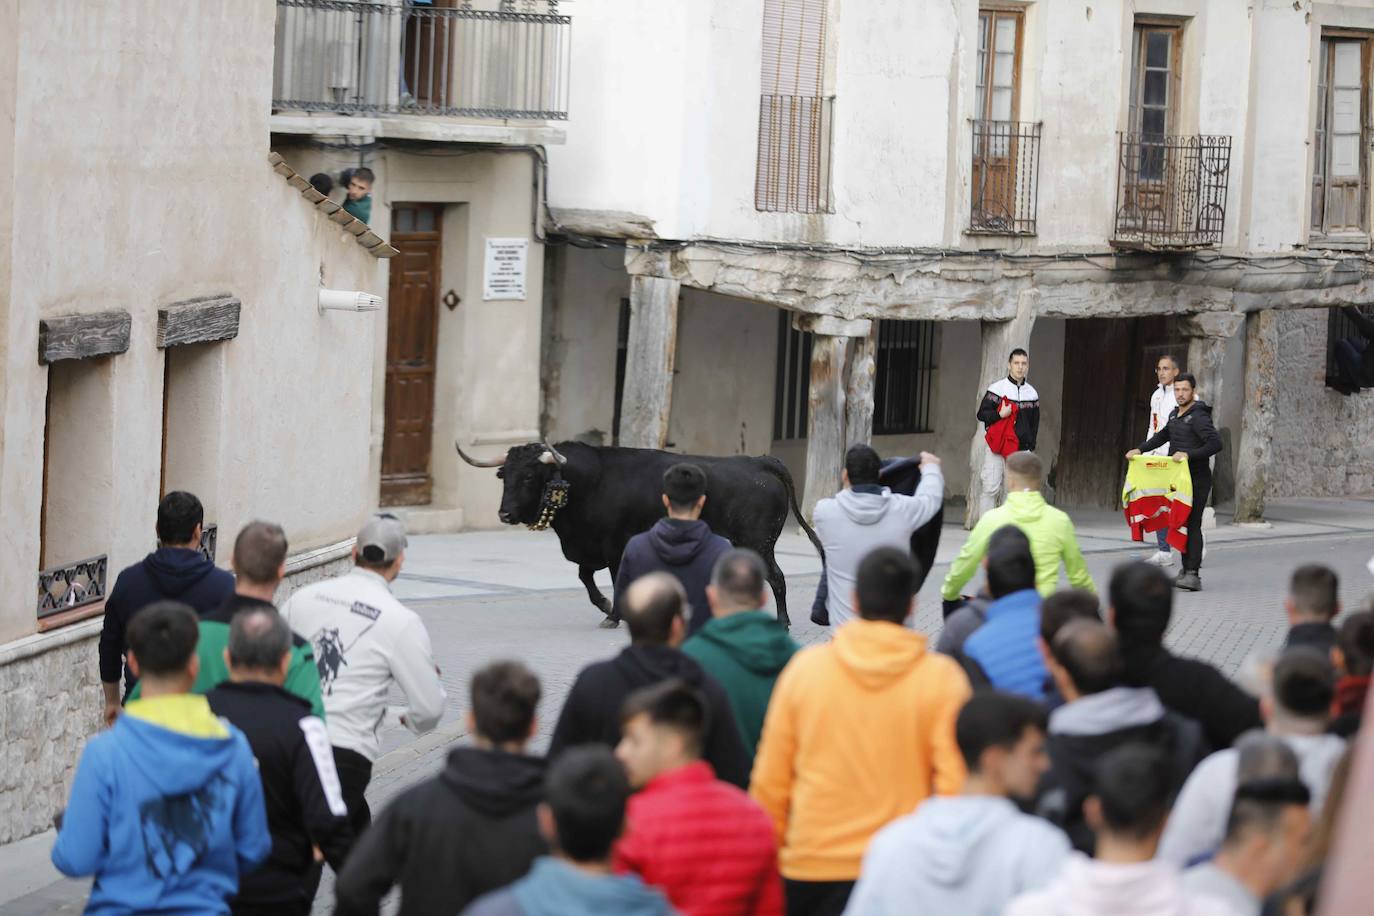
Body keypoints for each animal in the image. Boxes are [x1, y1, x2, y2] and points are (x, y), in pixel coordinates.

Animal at [461, 439, 945, 626]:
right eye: (504, 475)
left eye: (529, 477)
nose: (504, 513)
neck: (587, 480)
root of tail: (760, 460)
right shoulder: (590, 548)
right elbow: (585, 577)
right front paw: (607, 608)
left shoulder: (615, 545)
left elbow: (613, 579)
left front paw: (616, 613)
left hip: (758, 541)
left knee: (777, 579)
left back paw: (783, 621)